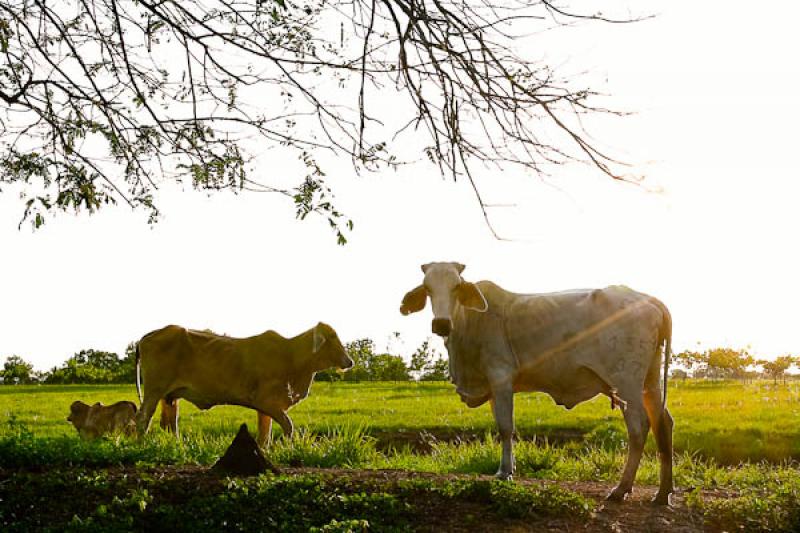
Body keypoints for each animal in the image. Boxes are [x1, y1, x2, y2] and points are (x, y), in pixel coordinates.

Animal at [135, 320, 354, 444]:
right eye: (332, 337)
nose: (350, 361)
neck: (291, 356)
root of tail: (147, 336)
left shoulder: (267, 408)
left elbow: (265, 434)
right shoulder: (266, 402)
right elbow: (288, 426)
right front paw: (289, 448)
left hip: (169, 396)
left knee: (169, 423)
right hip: (154, 391)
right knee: (143, 418)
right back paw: (141, 445)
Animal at [400, 262, 676, 502]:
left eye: (456, 286)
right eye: (427, 288)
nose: (441, 323)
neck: (471, 322)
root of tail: (650, 300)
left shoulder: (500, 377)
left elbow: (505, 427)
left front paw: (504, 472)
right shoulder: (493, 387)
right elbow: (502, 426)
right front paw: (509, 468)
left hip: (627, 381)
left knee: (639, 426)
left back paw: (622, 489)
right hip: (650, 381)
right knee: (663, 423)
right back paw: (662, 494)